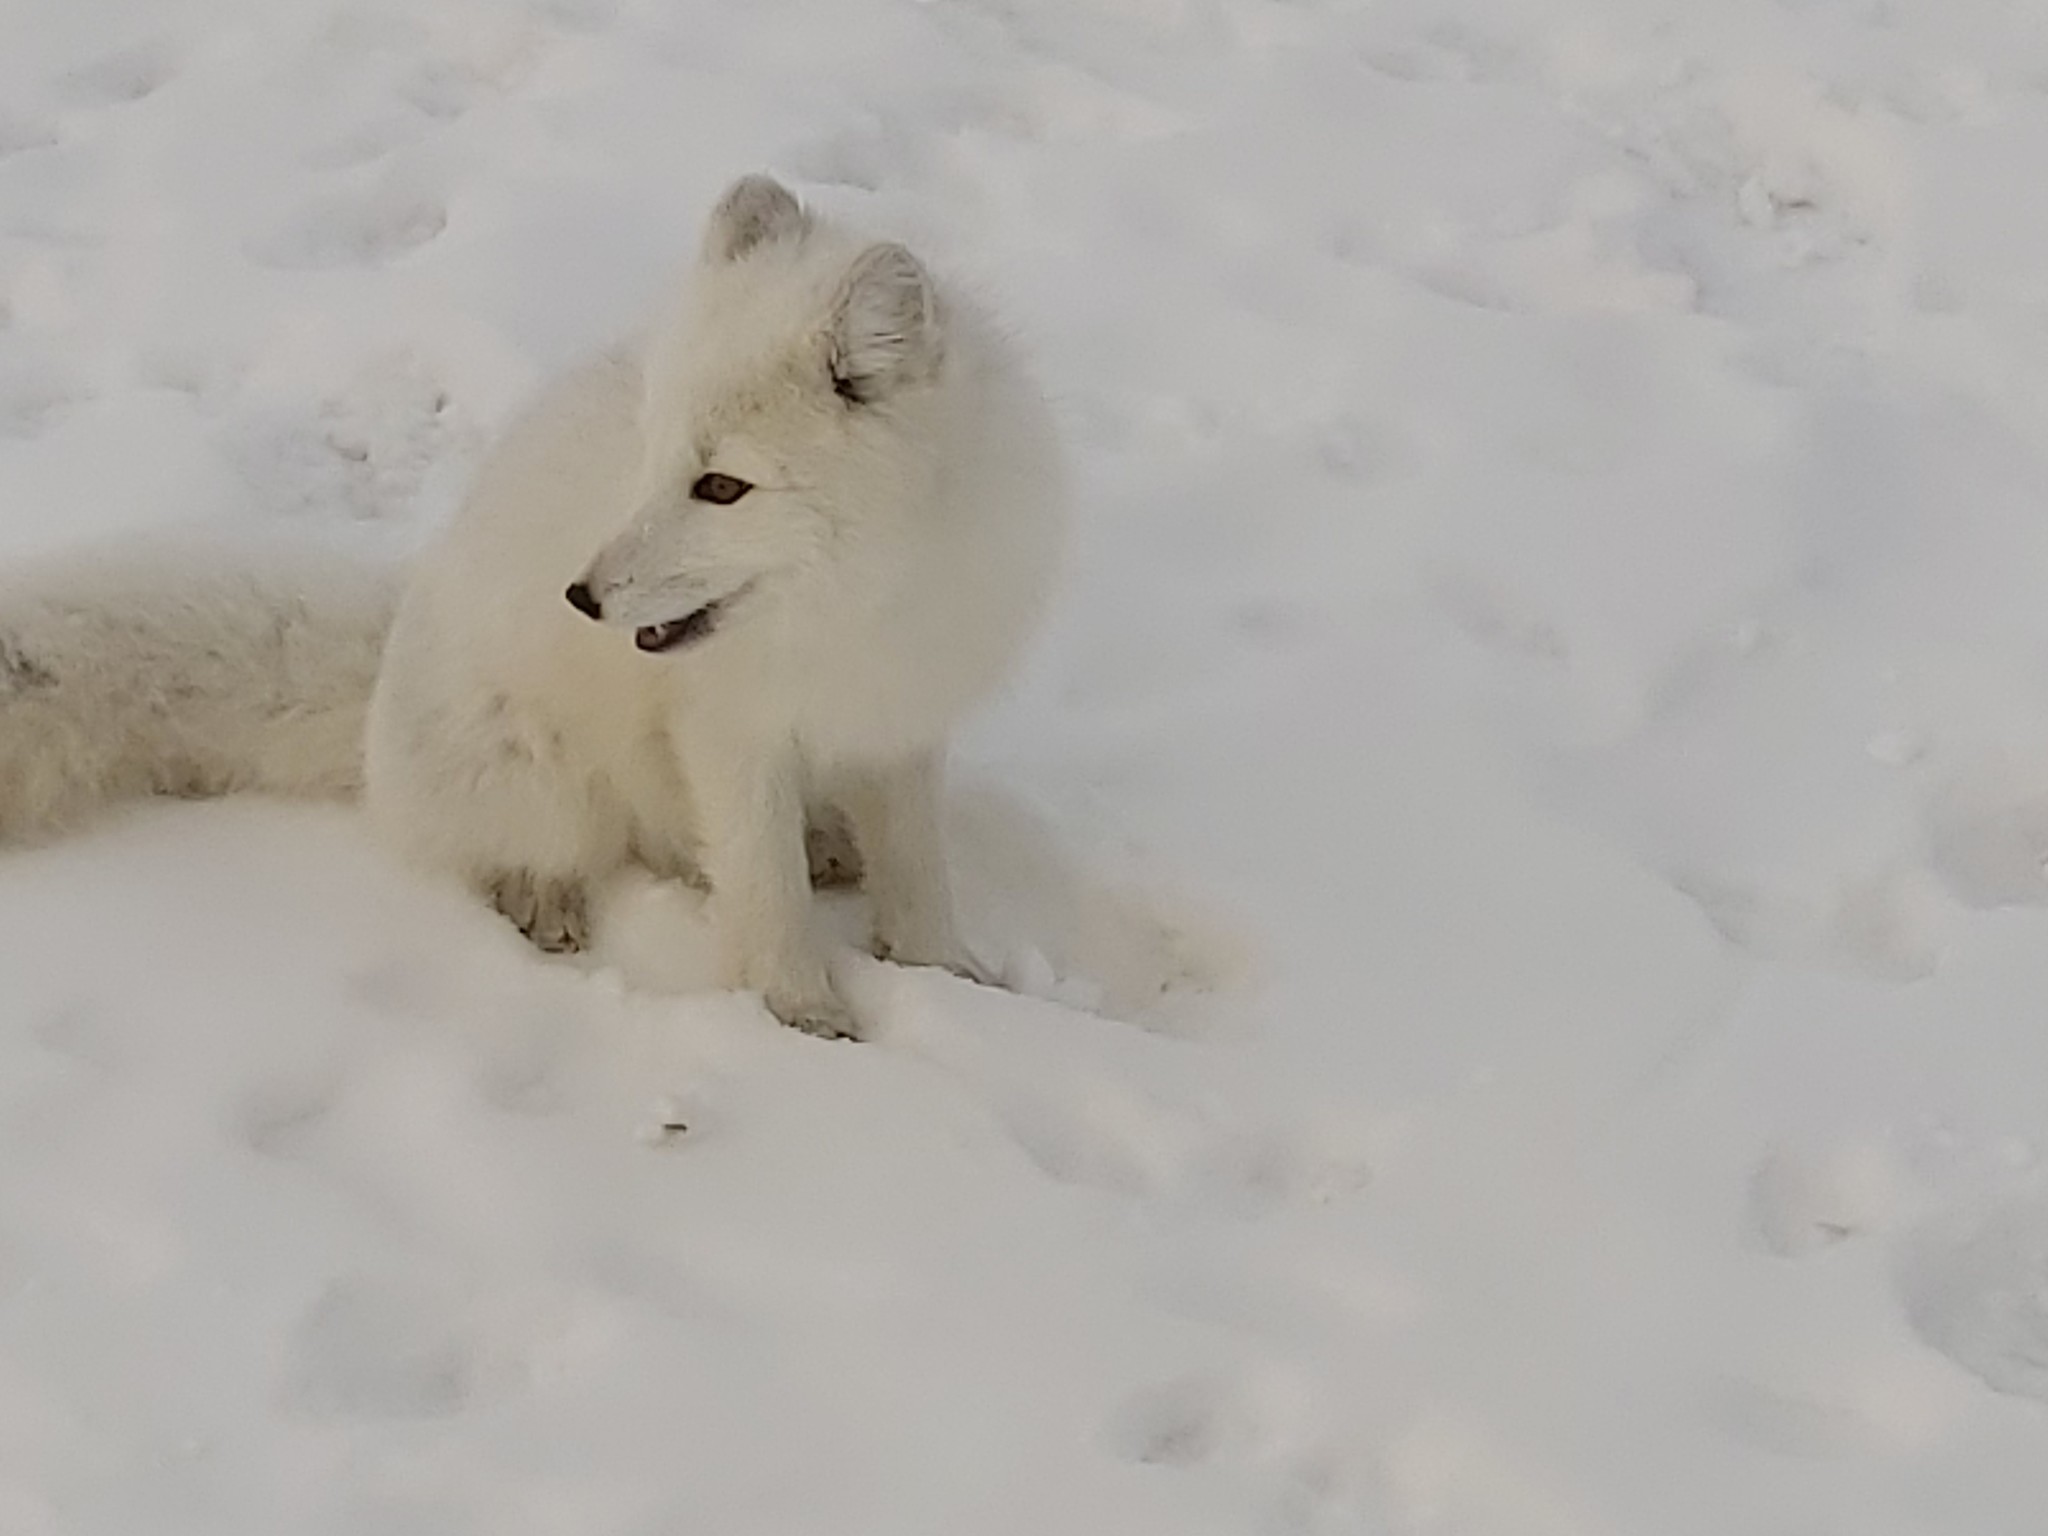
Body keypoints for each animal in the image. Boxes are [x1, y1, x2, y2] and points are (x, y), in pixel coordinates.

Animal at [0, 174, 1064, 1040]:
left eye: (721, 487)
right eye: (651, 451)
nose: (581, 596)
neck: (857, 607)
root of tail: (384, 672)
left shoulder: (906, 725)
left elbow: (917, 871)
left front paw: (946, 977)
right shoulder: (727, 736)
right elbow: (762, 887)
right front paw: (800, 1017)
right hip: (541, 776)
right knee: (534, 848)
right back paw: (544, 898)